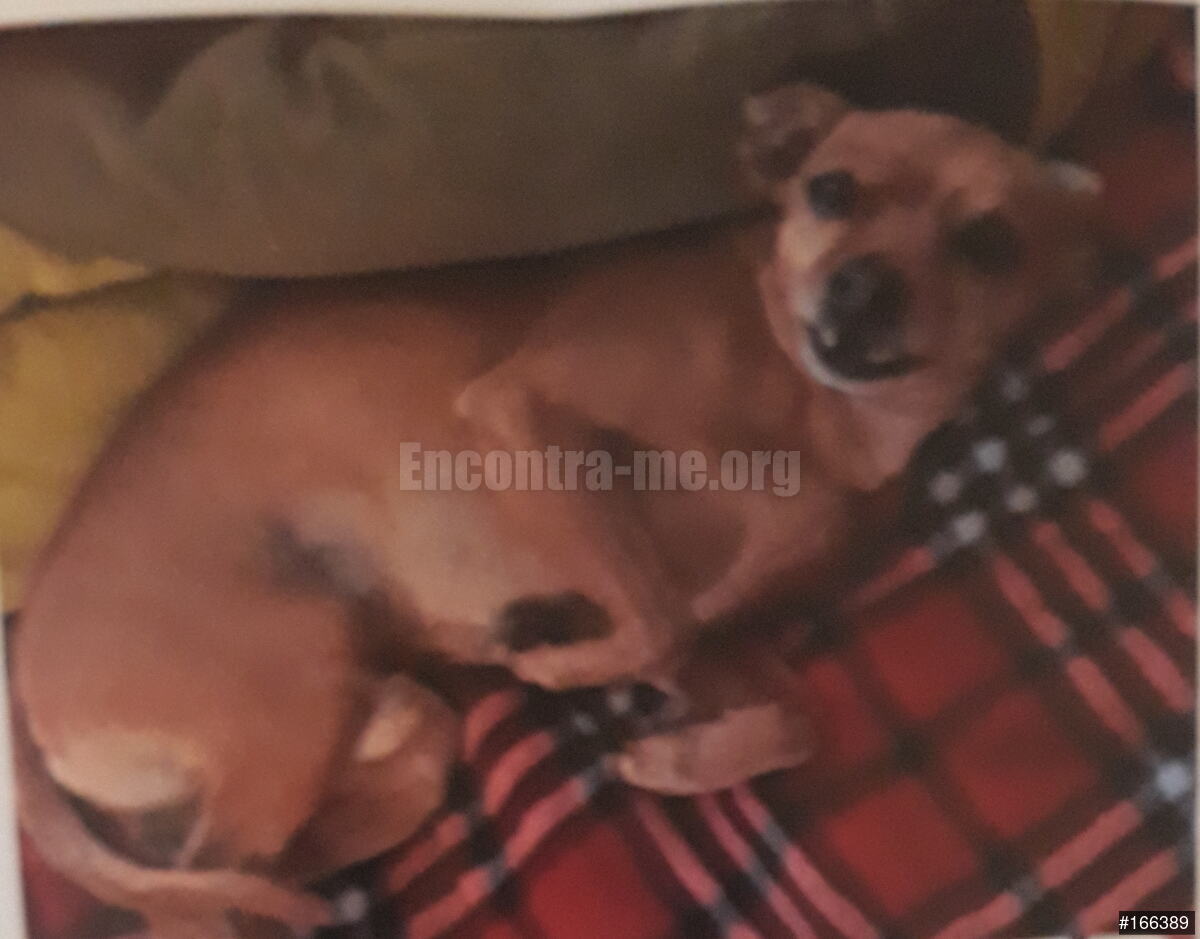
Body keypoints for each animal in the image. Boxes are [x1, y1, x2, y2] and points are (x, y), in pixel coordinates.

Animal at [11, 83, 1103, 936]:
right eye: (831, 190)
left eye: (989, 243)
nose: (861, 288)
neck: (826, 420)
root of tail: (20, 662)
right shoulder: (521, 410)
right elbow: (658, 621)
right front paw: (563, 665)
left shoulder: (721, 638)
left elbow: (789, 712)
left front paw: (682, 752)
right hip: (287, 682)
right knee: (190, 903)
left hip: (373, 714)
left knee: (255, 866)